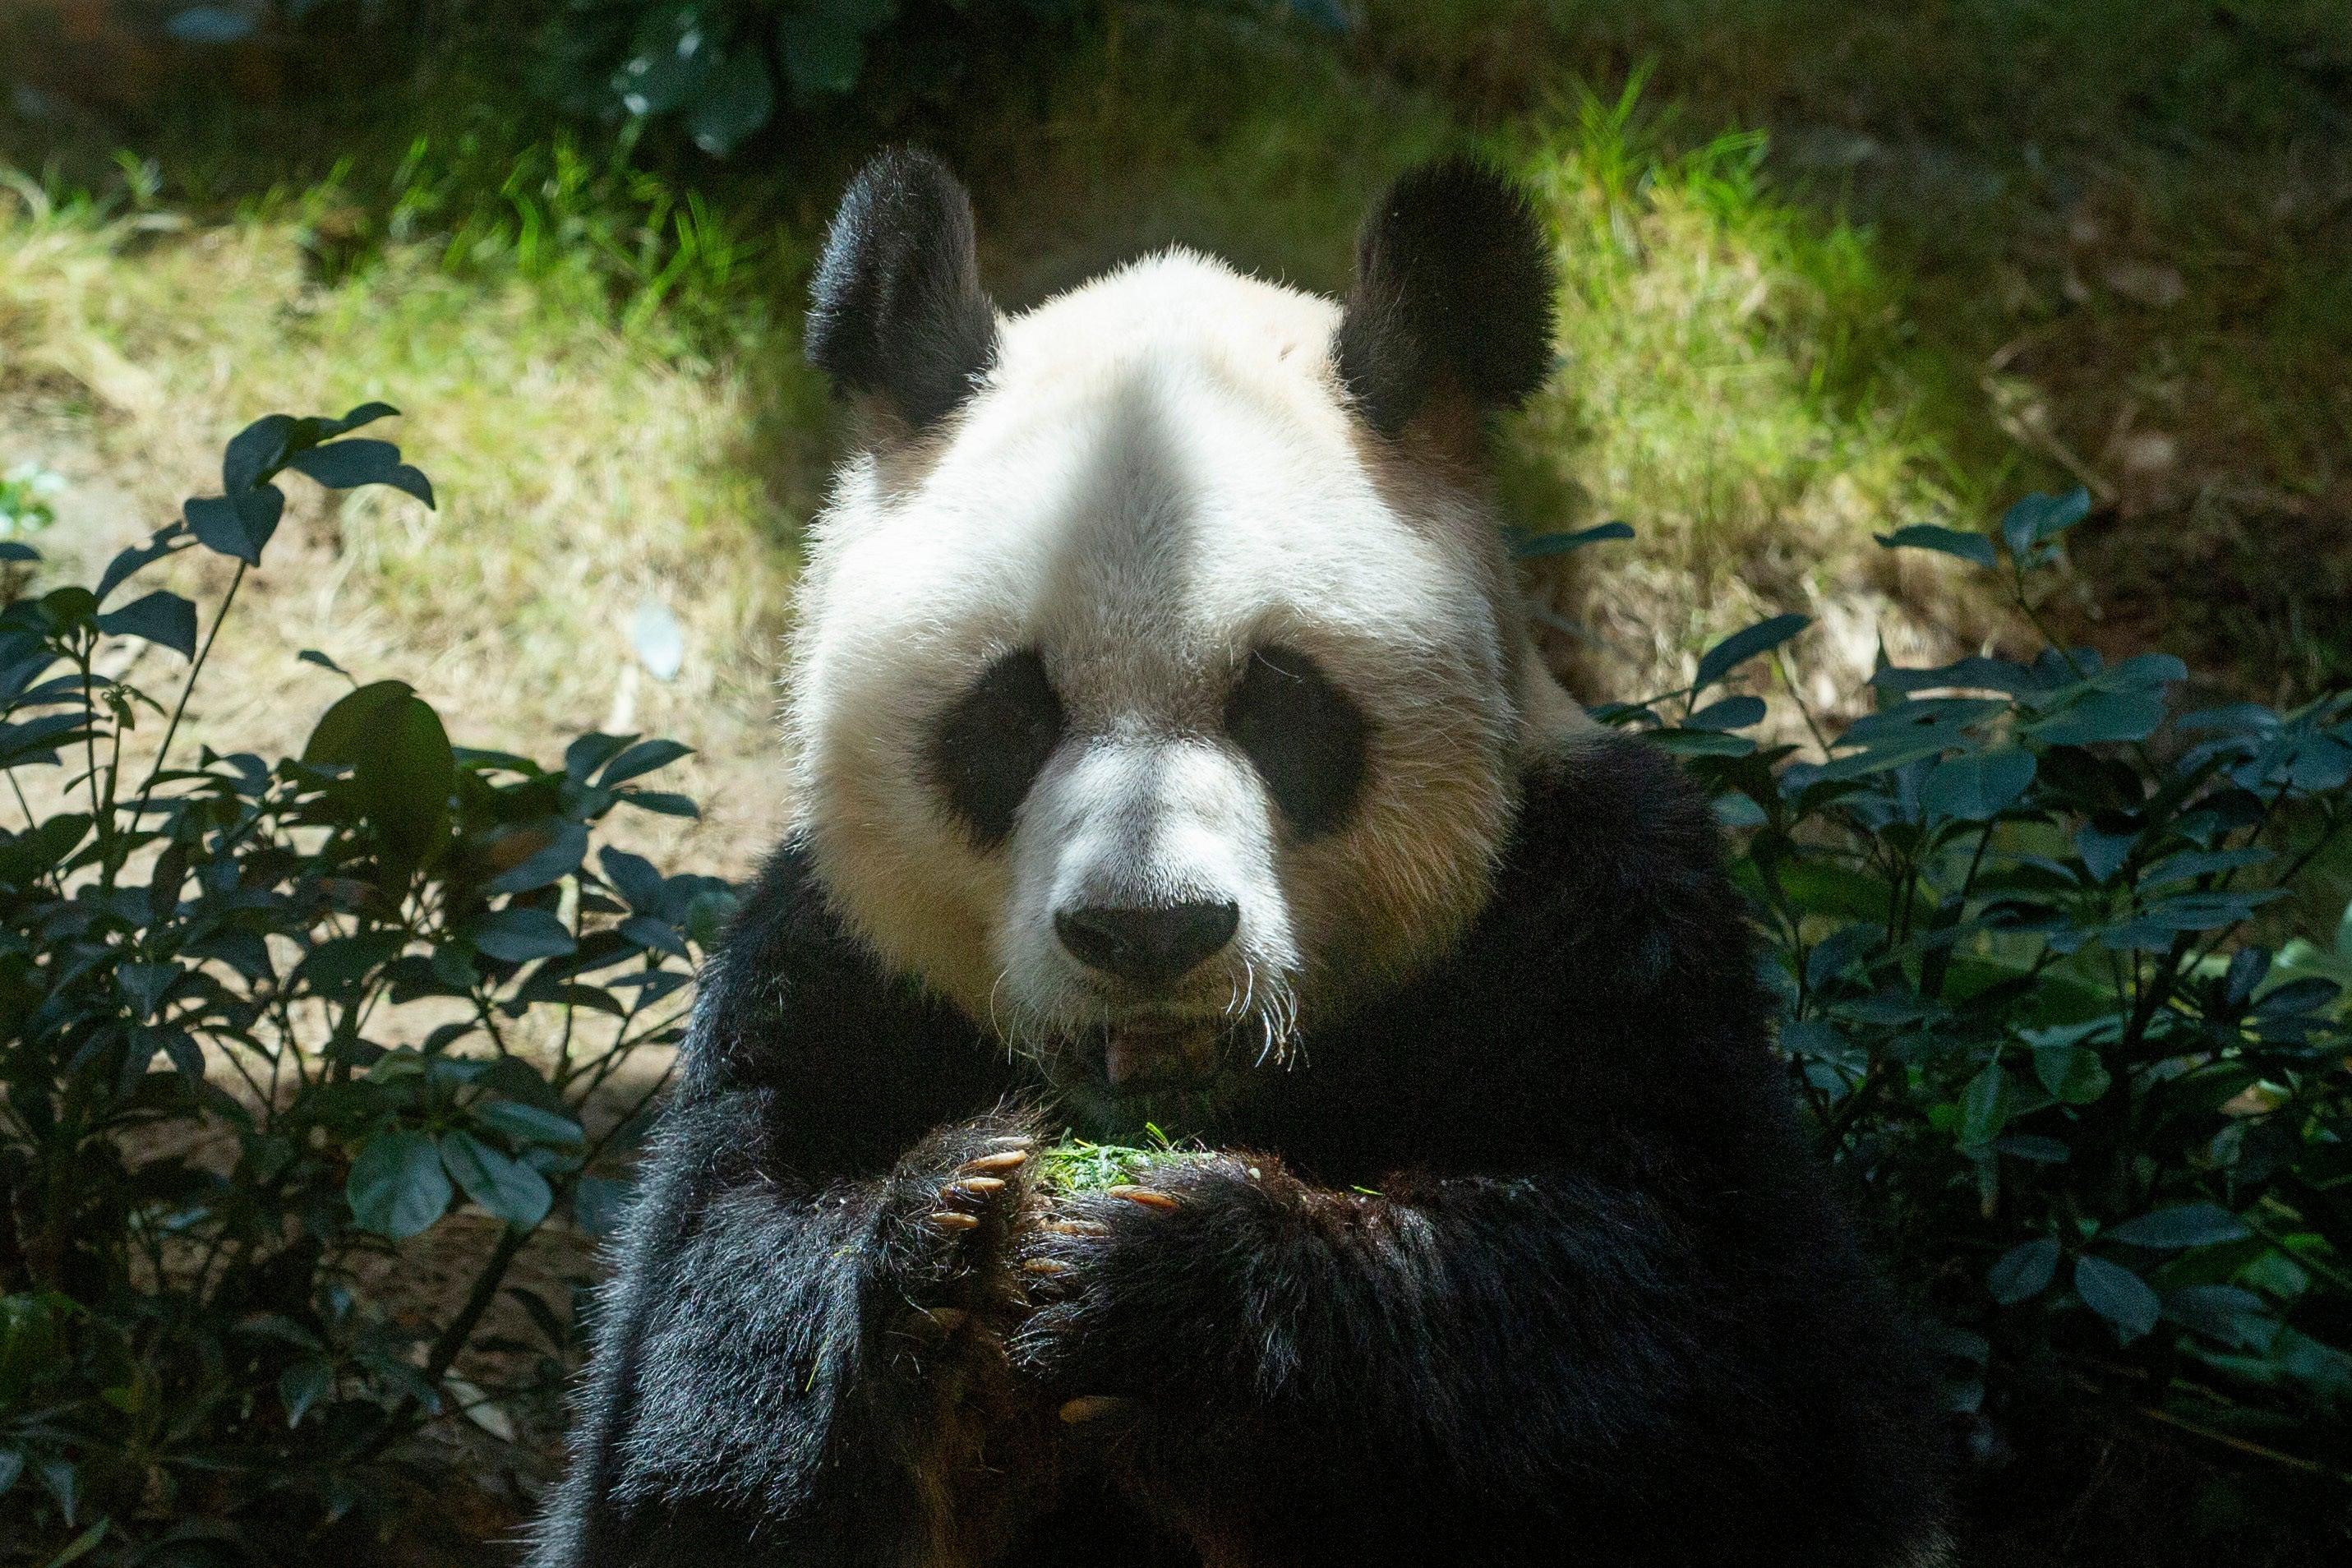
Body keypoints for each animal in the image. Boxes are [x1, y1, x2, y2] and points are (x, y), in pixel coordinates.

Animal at [530, 149, 1951, 1568]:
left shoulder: (1606, 922)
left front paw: (1187, 1285)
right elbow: (676, 1407)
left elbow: (1718, 1355)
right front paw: (946, 1243)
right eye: (1014, 713)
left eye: (1278, 704)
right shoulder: (818, 972)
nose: (1147, 932)